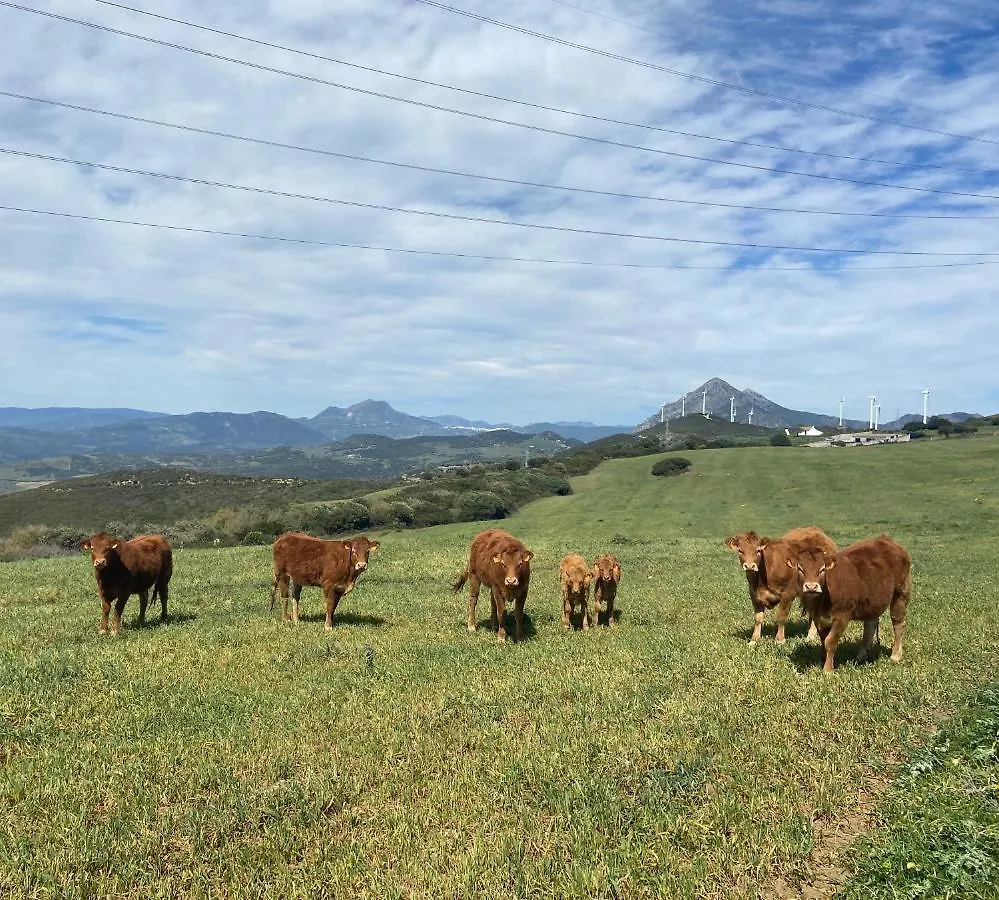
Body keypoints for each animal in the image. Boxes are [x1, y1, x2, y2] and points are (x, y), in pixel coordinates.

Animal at [788, 536, 916, 676]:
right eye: (800, 569)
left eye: (822, 569)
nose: (811, 587)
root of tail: (887, 540)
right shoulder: (818, 618)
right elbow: (823, 640)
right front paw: (823, 660)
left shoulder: (842, 617)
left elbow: (830, 642)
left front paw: (828, 670)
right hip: (872, 601)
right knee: (870, 625)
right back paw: (861, 655)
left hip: (901, 593)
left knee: (898, 623)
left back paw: (896, 655)